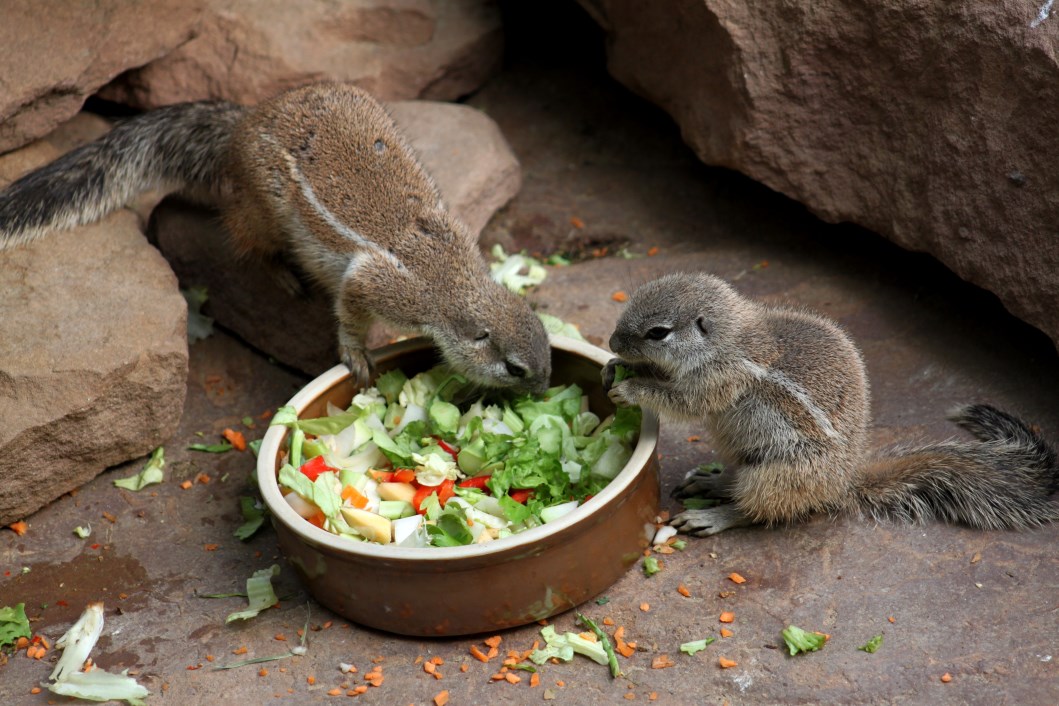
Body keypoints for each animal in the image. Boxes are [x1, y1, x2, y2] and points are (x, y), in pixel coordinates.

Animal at [0, 83, 550, 393]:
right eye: (516, 368)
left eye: (548, 347)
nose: (544, 391)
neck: (454, 281)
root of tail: (242, 123)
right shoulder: (376, 285)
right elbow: (350, 312)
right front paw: (357, 355)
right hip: (263, 211)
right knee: (247, 242)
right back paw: (282, 275)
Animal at [602, 272, 1059, 535]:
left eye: (658, 332)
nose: (611, 341)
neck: (727, 338)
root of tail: (844, 483)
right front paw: (615, 366)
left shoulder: (721, 377)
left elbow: (685, 401)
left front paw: (631, 389)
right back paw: (711, 483)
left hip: (781, 474)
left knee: (757, 510)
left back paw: (713, 515)